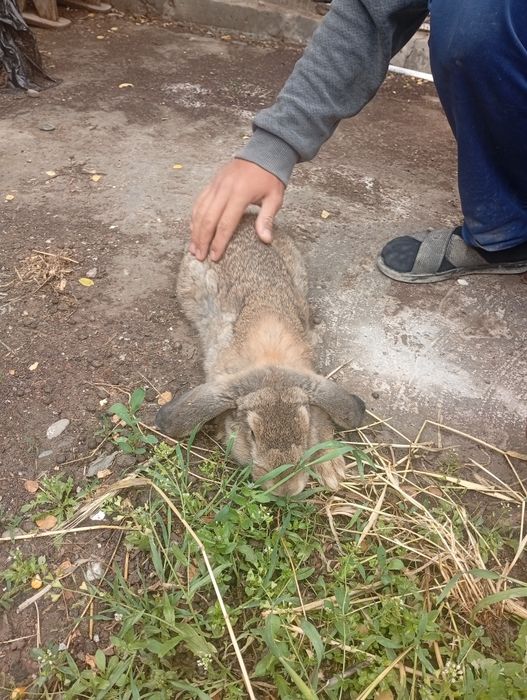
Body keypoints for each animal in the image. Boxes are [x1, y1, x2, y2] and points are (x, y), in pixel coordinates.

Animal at [155, 215, 365, 496]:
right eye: (252, 434)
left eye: (303, 429)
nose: (286, 490)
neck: (270, 357)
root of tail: (247, 217)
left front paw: (331, 469)